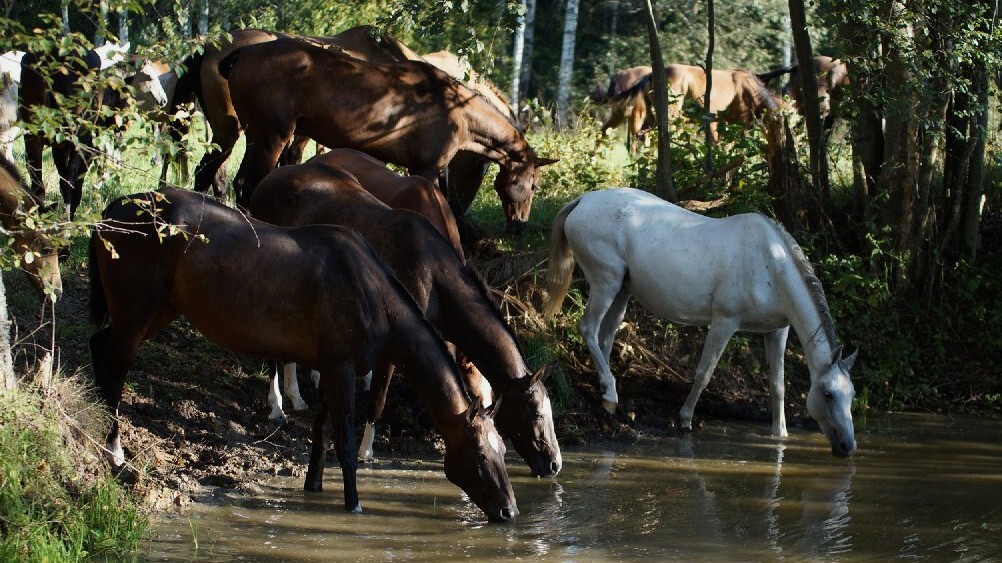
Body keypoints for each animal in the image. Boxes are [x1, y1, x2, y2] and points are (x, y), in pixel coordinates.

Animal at [90, 186, 521, 520]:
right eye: (479, 456)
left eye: (504, 449)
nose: (509, 511)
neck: (371, 292)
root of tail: (113, 211)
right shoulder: (342, 369)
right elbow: (344, 441)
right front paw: (353, 505)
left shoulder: (331, 366)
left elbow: (322, 433)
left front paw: (314, 487)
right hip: (135, 313)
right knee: (114, 368)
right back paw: (114, 451)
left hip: (159, 310)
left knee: (101, 354)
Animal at [217, 37, 557, 233]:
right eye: (534, 186)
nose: (519, 226)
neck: (456, 111)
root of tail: (243, 53)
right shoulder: (425, 168)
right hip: (272, 138)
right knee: (250, 184)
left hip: (256, 137)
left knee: (240, 182)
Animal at [248, 159, 565, 476]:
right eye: (537, 412)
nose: (554, 464)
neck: (433, 273)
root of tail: (271, 178)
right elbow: (378, 399)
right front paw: (366, 450)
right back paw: (277, 405)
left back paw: (296, 395)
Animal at [545, 186, 857, 452]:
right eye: (828, 393)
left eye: (852, 395)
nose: (848, 447)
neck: (769, 264)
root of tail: (583, 200)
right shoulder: (724, 322)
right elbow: (704, 372)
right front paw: (685, 419)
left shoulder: (778, 330)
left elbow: (777, 384)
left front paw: (779, 434)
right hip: (605, 282)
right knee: (588, 328)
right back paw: (610, 395)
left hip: (622, 289)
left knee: (606, 334)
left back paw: (607, 390)